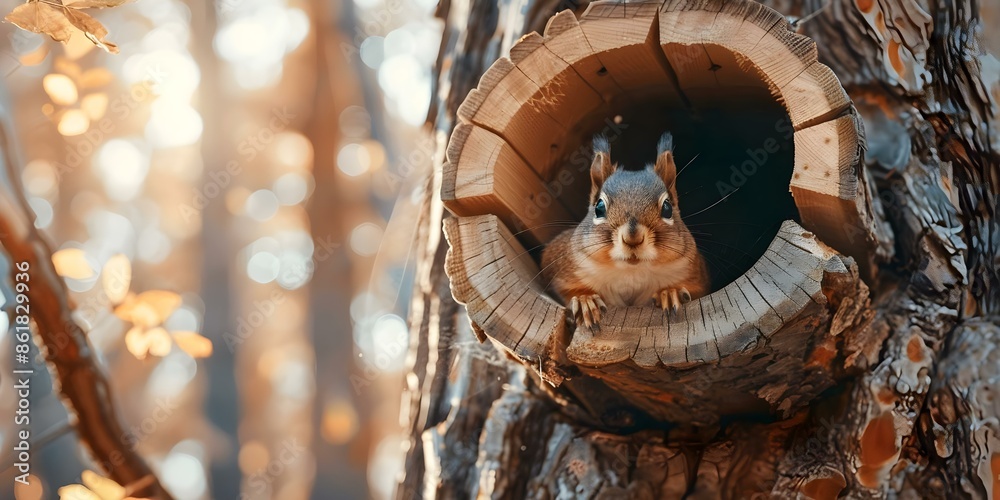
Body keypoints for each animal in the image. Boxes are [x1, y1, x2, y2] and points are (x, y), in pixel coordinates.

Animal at [541, 132, 710, 328]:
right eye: (599, 207)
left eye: (667, 208)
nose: (632, 238)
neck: (630, 273)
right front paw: (585, 300)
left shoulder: (694, 275)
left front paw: (670, 292)